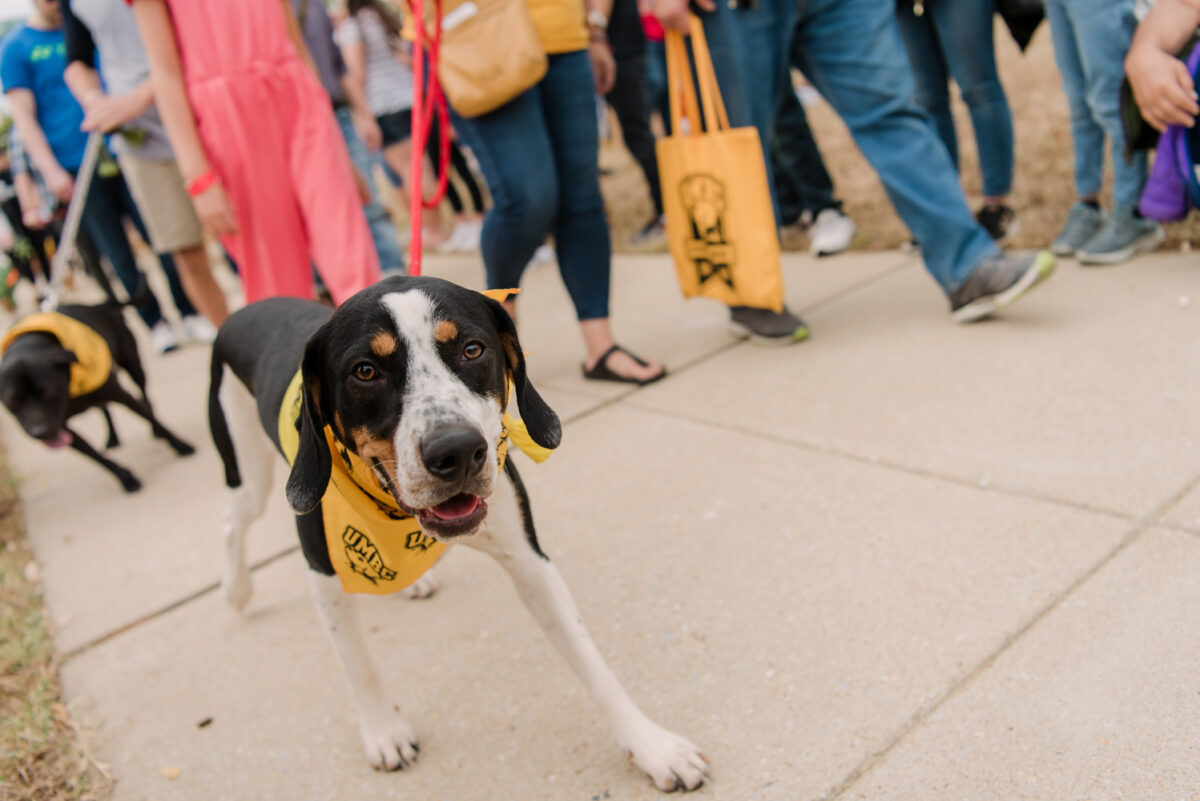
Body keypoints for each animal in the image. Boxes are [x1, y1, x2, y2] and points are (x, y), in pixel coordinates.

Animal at [0, 299, 194, 491]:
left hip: (133, 365)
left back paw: (153, 429)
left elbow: (152, 419)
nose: (40, 432)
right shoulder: (61, 427)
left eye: (49, 392)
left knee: (144, 397)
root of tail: (101, 305)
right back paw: (113, 437)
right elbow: (97, 458)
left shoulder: (120, 394)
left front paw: (181, 445)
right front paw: (125, 478)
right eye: (12, 403)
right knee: (104, 407)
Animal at [208, 278, 710, 791]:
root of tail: (244, 310)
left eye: (472, 349)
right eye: (365, 371)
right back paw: (236, 589)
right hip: (248, 469)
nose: (458, 451)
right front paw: (384, 732)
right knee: (232, 521)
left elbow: (592, 663)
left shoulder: (530, 562)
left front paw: (652, 746)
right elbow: (359, 667)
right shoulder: (324, 574)